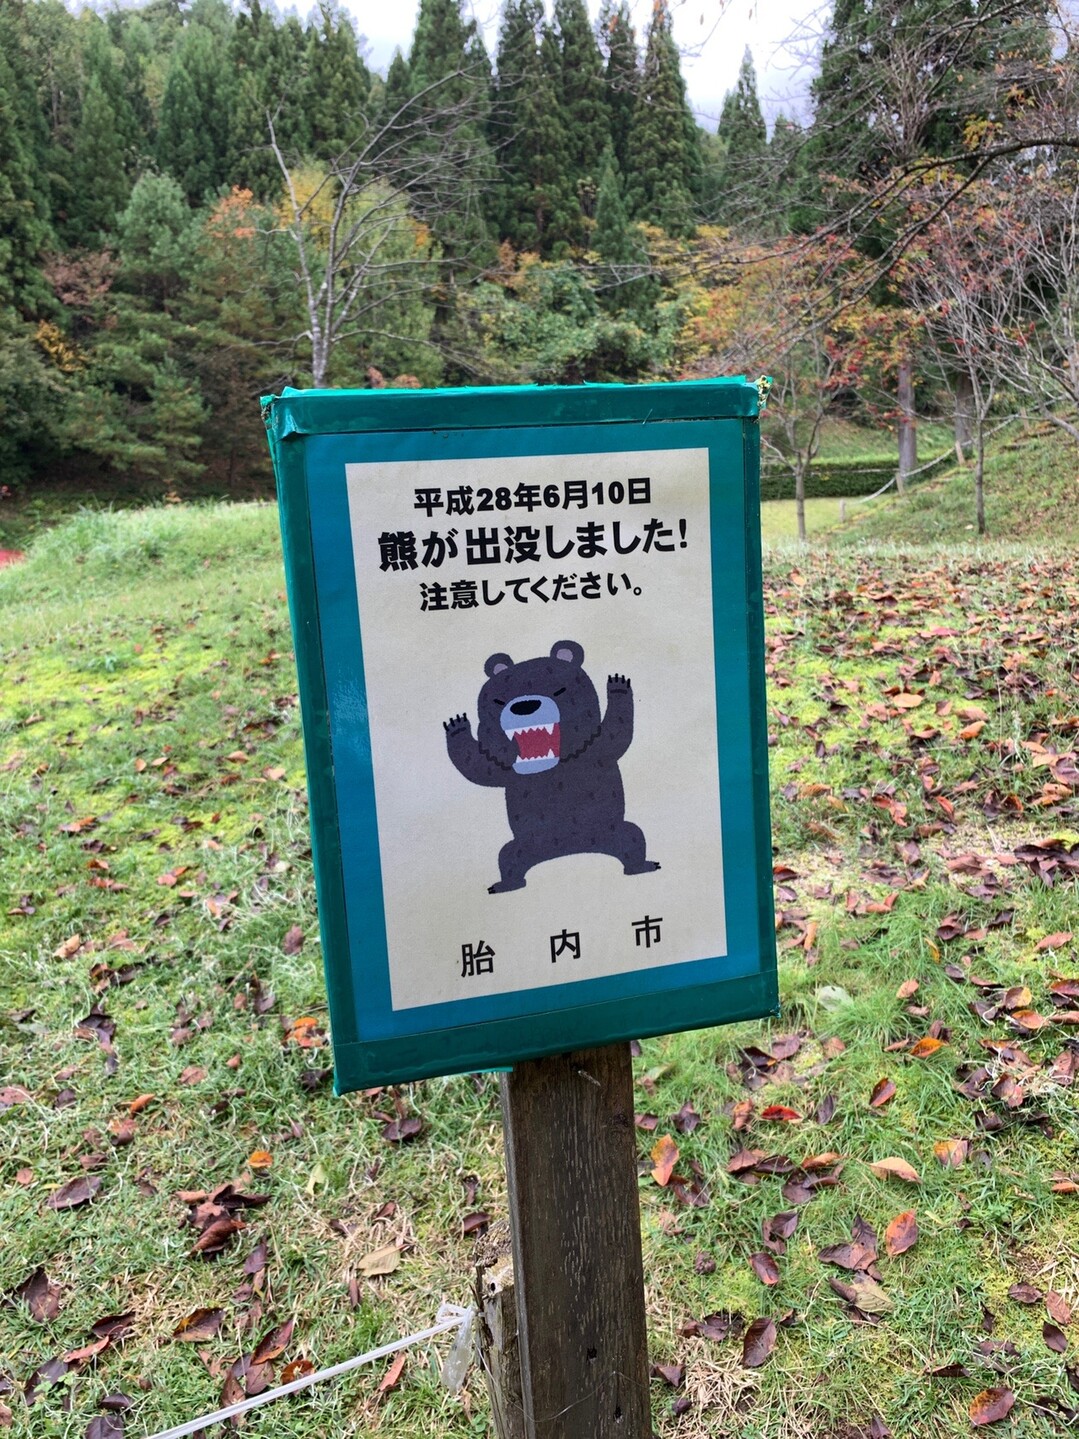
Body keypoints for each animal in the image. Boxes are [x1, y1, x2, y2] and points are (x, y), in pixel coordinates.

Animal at [443, 639, 660, 894]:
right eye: (498, 701)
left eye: (559, 690)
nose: (525, 705)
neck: (551, 768)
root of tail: (566, 847)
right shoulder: (506, 771)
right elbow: (478, 767)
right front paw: (457, 726)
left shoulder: (595, 750)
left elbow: (617, 732)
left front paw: (617, 686)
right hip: (524, 845)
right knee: (508, 858)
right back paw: (506, 885)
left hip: (611, 830)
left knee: (632, 838)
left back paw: (642, 866)